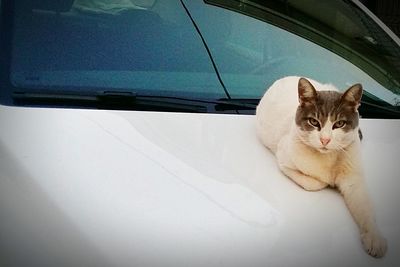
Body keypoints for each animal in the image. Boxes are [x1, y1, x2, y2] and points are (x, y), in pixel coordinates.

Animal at [256, 76, 388, 258]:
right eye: (313, 122)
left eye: (339, 124)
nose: (325, 140)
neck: (328, 157)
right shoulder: (283, 158)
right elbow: (315, 183)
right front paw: (327, 182)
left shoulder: (354, 180)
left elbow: (365, 208)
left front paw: (374, 237)